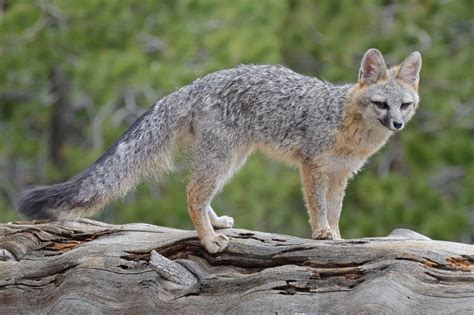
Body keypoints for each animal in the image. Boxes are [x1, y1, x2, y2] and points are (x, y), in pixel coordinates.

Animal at [17, 48, 422, 254]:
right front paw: (322, 233)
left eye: (405, 105)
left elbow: (335, 209)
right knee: (192, 195)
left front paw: (337, 235)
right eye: (382, 104)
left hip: (231, 160)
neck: (347, 124)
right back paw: (209, 240)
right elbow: (317, 206)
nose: (398, 125)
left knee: (200, 194)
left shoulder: (340, 174)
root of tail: (192, 86)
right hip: (223, 159)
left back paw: (215, 225)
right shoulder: (312, 166)